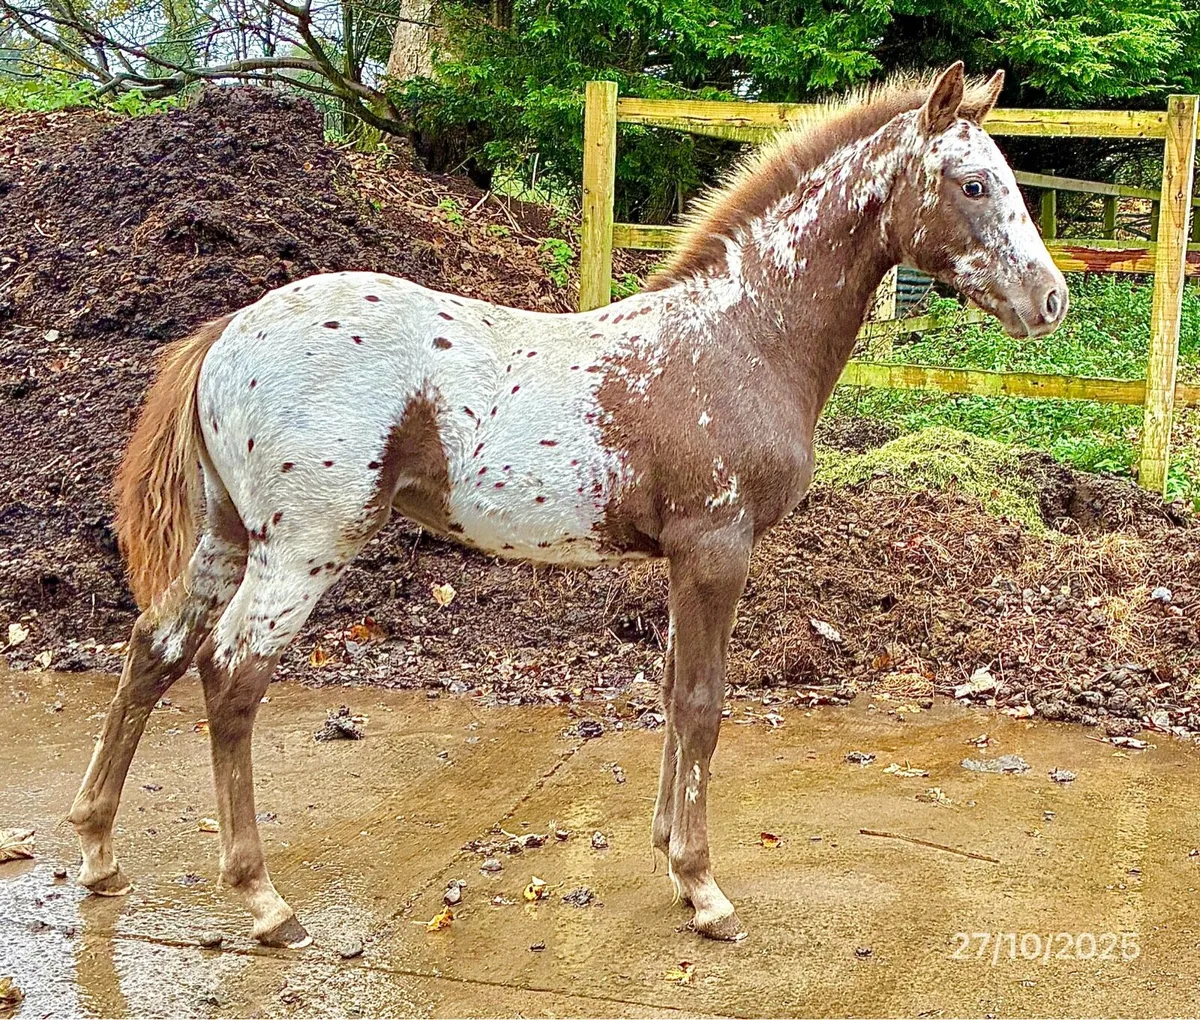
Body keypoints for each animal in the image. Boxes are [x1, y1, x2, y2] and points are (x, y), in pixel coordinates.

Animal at [68, 62, 1067, 948]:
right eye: (975, 183)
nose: (1051, 300)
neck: (740, 335)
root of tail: (227, 331)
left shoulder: (683, 560)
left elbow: (671, 692)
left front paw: (671, 861)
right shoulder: (718, 547)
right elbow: (703, 703)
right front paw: (705, 891)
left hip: (226, 536)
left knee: (154, 648)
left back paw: (98, 853)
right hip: (305, 547)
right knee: (231, 672)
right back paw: (263, 901)